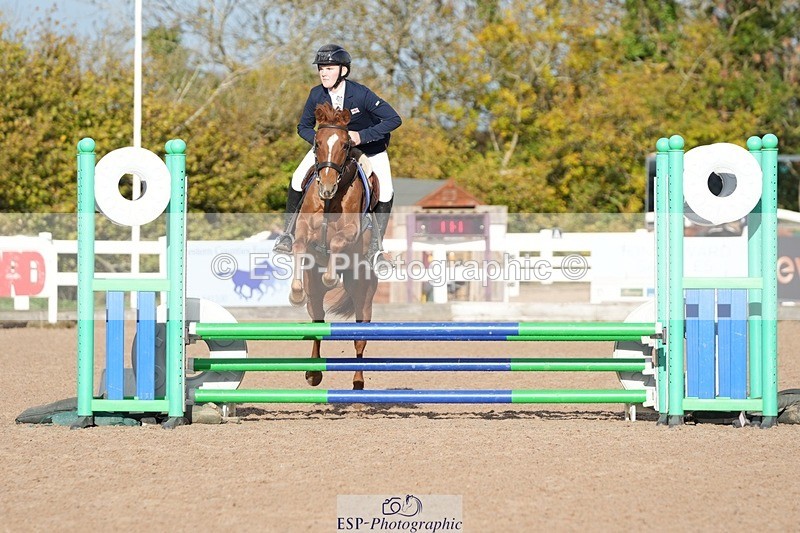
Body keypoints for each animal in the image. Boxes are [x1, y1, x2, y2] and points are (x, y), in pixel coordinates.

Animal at [288, 102, 380, 390]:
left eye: (346, 144)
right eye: (317, 143)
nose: (326, 188)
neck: (331, 201)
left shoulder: (350, 233)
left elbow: (339, 241)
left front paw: (330, 277)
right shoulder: (303, 230)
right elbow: (299, 246)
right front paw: (295, 292)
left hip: (364, 295)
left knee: (360, 338)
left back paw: (358, 383)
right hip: (315, 296)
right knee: (318, 322)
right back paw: (313, 373)